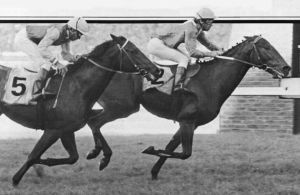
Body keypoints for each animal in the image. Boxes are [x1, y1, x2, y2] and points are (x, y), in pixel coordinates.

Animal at [0, 34, 164, 185]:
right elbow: (33, 156)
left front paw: (99, 156)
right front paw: (17, 179)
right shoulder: (53, 130)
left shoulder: (66, 130)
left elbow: (73, 157)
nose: (158, 70)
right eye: (133, 50)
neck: (76, 87)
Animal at [84, 35, 290, 179]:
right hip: (122, 107)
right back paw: (102, 156)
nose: (286, 68)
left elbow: (172, 148)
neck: (210, 81)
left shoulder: (190, 123)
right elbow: (184, 154)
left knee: (91, 119)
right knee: (94, 122)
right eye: (266, 47)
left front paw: (154, 172)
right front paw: (149, 149)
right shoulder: (187, 121)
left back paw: (97, 152)